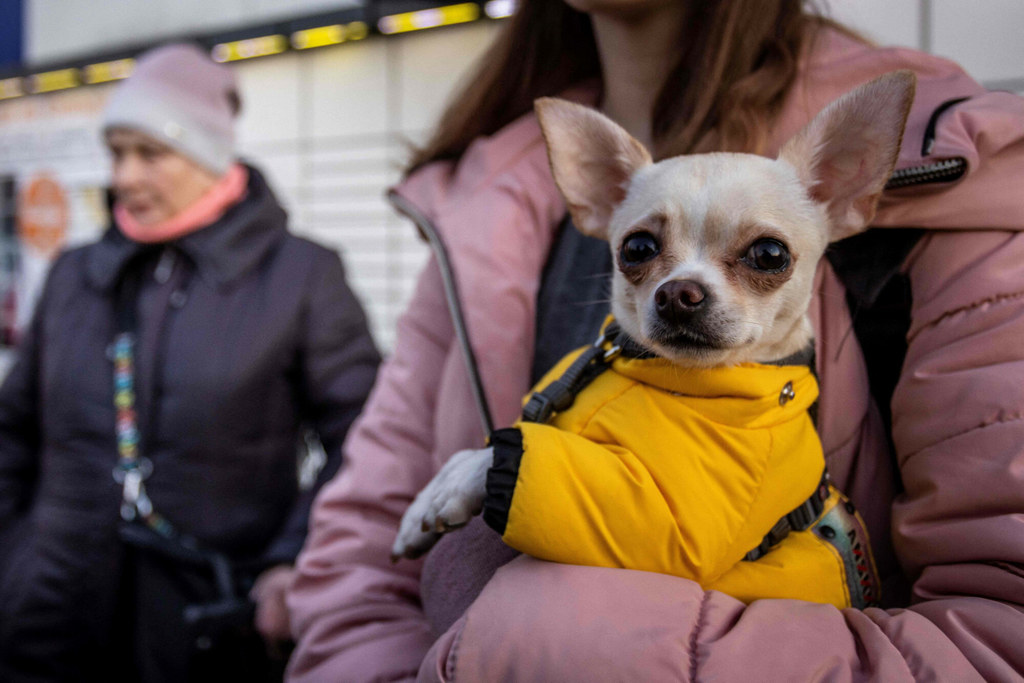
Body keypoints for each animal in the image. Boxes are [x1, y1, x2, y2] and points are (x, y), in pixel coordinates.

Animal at [395, 69, 917, 602]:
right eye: (637, 248)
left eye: (770, 255)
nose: (679, 293)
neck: (660, 372)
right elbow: (481, 445)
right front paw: (425, 502)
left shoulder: (669, 526)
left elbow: (526, 456)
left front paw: (460, 481)